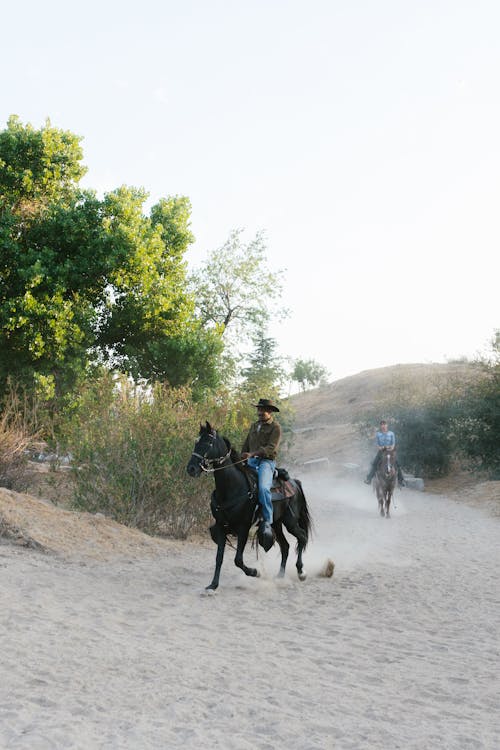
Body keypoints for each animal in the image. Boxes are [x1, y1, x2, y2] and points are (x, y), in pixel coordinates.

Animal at [187, 424, 312, 592]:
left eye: (208, 443)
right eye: (196, 442)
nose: (191, 468)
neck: (232, 487)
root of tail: (294, 483)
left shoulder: (243, 528)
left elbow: (238, 560)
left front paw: (255, 572)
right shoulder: (221, 527)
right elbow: (219, 558)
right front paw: (213, 585)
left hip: (290, 522)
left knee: (302, 537)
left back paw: (301, 572)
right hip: (276, 523)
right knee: (285, 546)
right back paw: (279, 576)